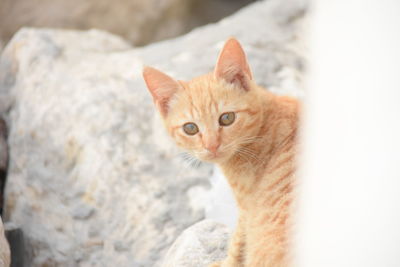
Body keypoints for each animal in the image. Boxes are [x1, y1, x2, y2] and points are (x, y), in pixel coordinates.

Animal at [143, 37, 296, 267]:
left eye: (227, 118)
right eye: (190, 128)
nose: (212, 145)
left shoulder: (247, 210)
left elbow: (238, 243)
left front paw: (225, 262)